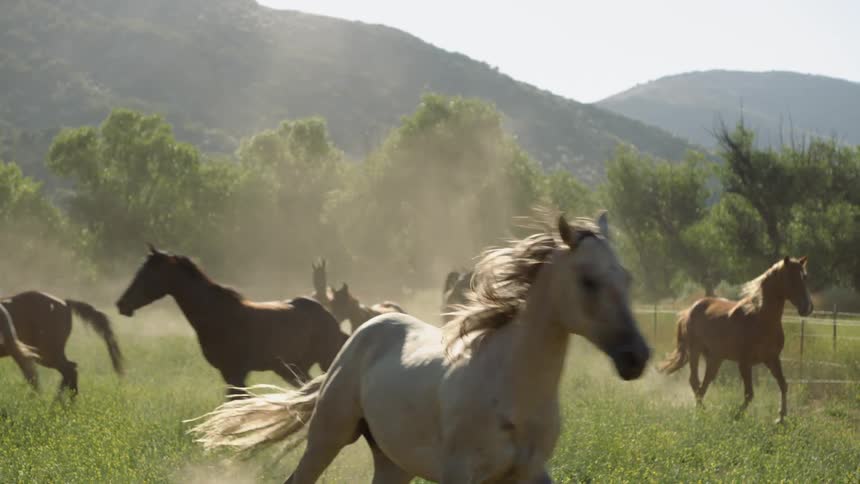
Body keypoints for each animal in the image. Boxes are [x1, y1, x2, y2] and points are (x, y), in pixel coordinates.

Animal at [116, 246, 349, 394]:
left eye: (148, 274)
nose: (121, 304)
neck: (218, 316)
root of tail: (329, 316)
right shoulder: (230, 374)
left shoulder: (235, 372)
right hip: (293, 368)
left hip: (324, 361)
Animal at [189, 213, 650, 483]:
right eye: (588, 280)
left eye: (628, 278)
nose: (636, 357)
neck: (512, 393)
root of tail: (364, 331)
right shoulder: (459, 475)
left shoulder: (529, 474)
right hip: (328, 436)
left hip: (392, 461)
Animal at [658, 256, 813, 423]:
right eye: (791, 278)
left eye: (805, 277)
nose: (808, 308)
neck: (761, 319)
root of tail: (690, 309)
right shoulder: (745, 363)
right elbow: (749, 394)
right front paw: (736, 416)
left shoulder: (772, 358)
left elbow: (783, 384)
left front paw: (781, 418)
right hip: (695, 351)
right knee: (695, 381)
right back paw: (702, 412)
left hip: (715, 357)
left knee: (705, 382)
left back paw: (702, 410)